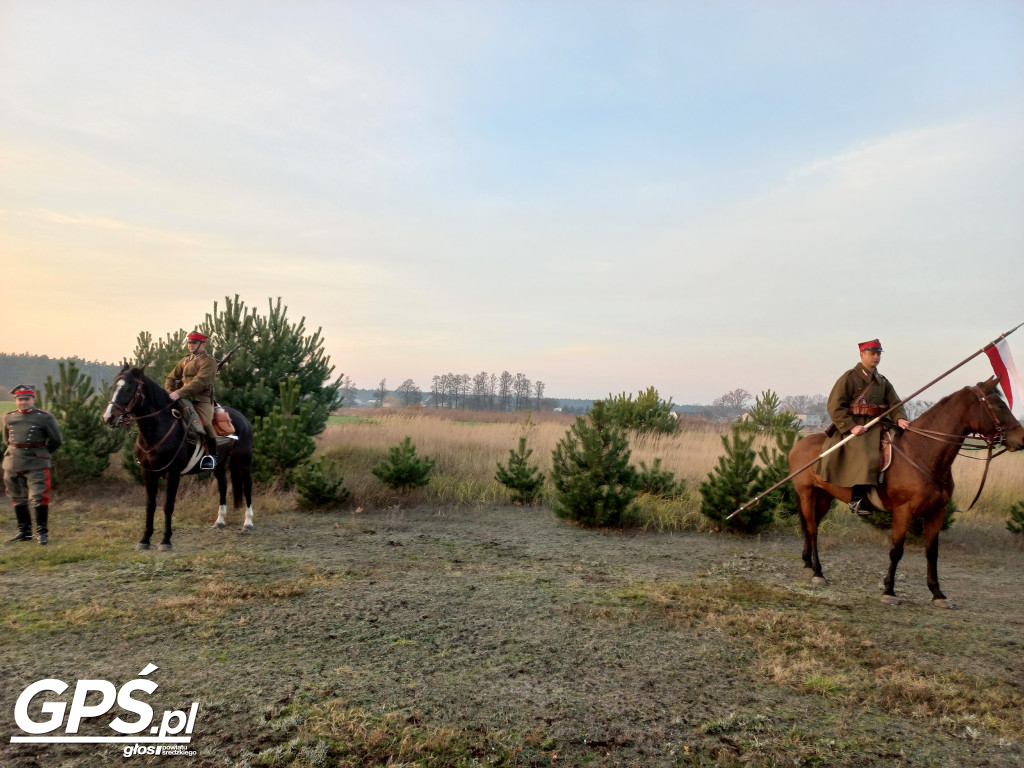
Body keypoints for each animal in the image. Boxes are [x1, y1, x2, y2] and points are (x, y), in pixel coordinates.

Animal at [102, 366, 256, 552]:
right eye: (113, 387)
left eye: (129, 389)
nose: (108, 417)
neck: (158, 428)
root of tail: (243, 418)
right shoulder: (147, 472)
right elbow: (150, 505)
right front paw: (145, 540)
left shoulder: (173, 473)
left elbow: (168, 506)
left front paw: (165, 541)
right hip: (219, 463)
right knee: (223, 486)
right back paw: (220, 521)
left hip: (244, 459)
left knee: (247, 486)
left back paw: (248, 523)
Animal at [786, 378, 1019, 606]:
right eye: (1000, 405)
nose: (1021, 438)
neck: (922, 453)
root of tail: (799, 443)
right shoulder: (903, 512)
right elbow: (897, 550)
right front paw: (889, 590)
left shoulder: (937, 512)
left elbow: (932, 552)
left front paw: (937, 593)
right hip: (807, 493)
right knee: (813, 530)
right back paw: (818, 572)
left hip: (824, 497)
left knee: (812, 527)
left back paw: (808, 563)